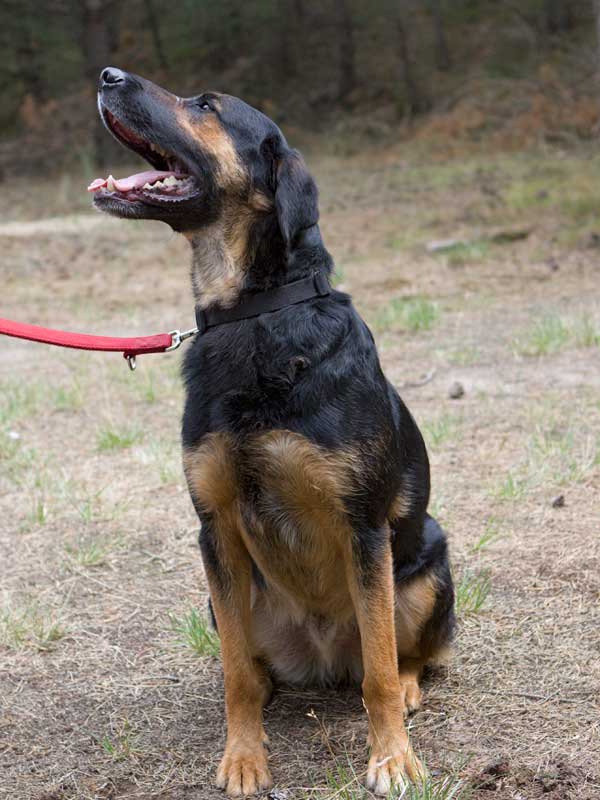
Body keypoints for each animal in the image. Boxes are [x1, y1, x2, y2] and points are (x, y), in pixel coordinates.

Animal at [90, 67, 455, 797]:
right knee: (259, 669)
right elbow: (236, 675)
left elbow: (379, 668)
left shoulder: (363, 526)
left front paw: (392, 758)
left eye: (206, 106)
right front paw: (243, 756)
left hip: (428, 564)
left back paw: (406, 691)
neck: (253, 316)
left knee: (403, 655)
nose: (109, 76)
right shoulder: (215, 529)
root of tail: (324, 660)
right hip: (223, 600)